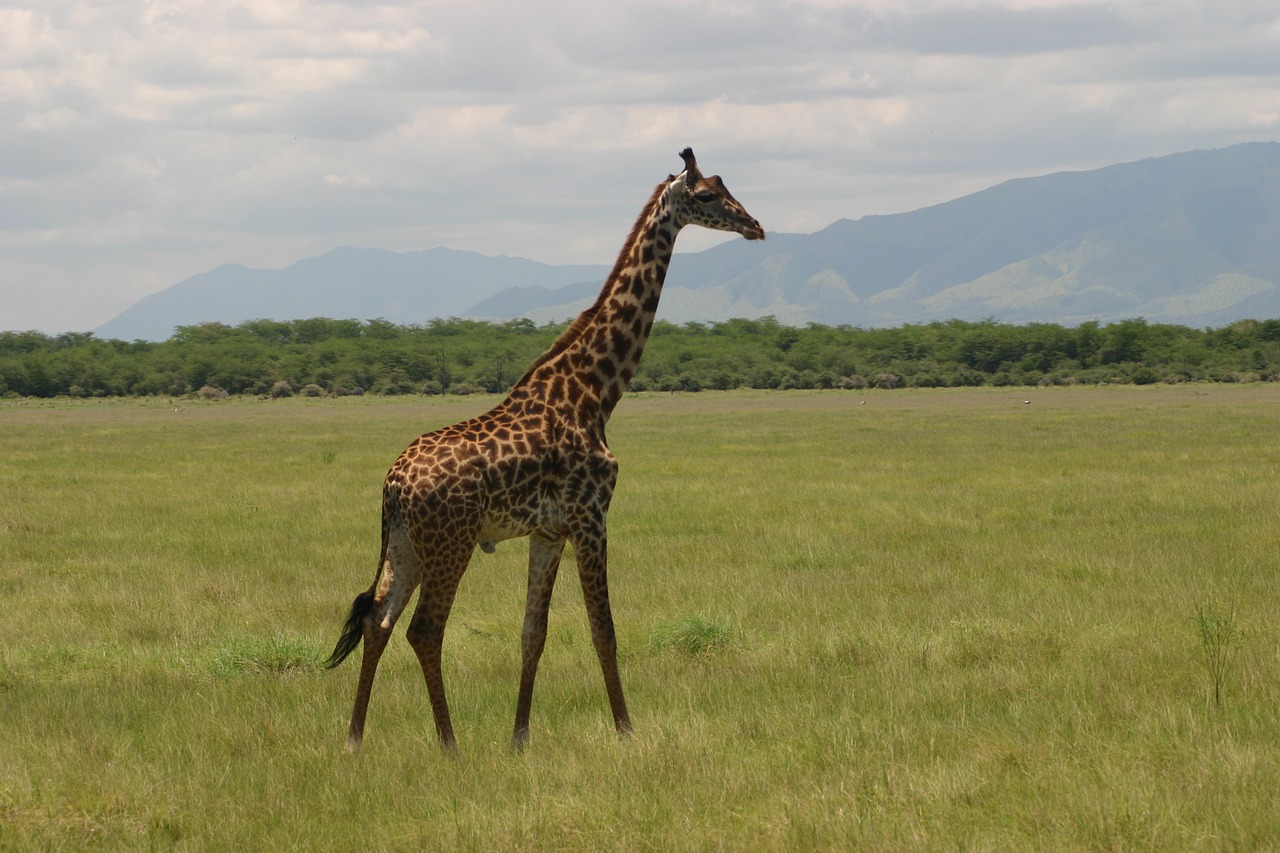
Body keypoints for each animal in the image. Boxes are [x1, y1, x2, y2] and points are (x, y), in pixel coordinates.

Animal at [325, 147, 762, 753]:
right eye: (706, 196)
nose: (756, 226)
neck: (595, 391)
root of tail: (391, 484)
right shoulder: (591, 517)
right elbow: (604, 630)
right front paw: (627, 731)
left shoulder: (548, 531)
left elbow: (534, 633)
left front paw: (519, 738)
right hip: (451, 542)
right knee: (424, 629)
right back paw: (449, 744)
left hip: (405, 544)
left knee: (377, 621)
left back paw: (354, 740)